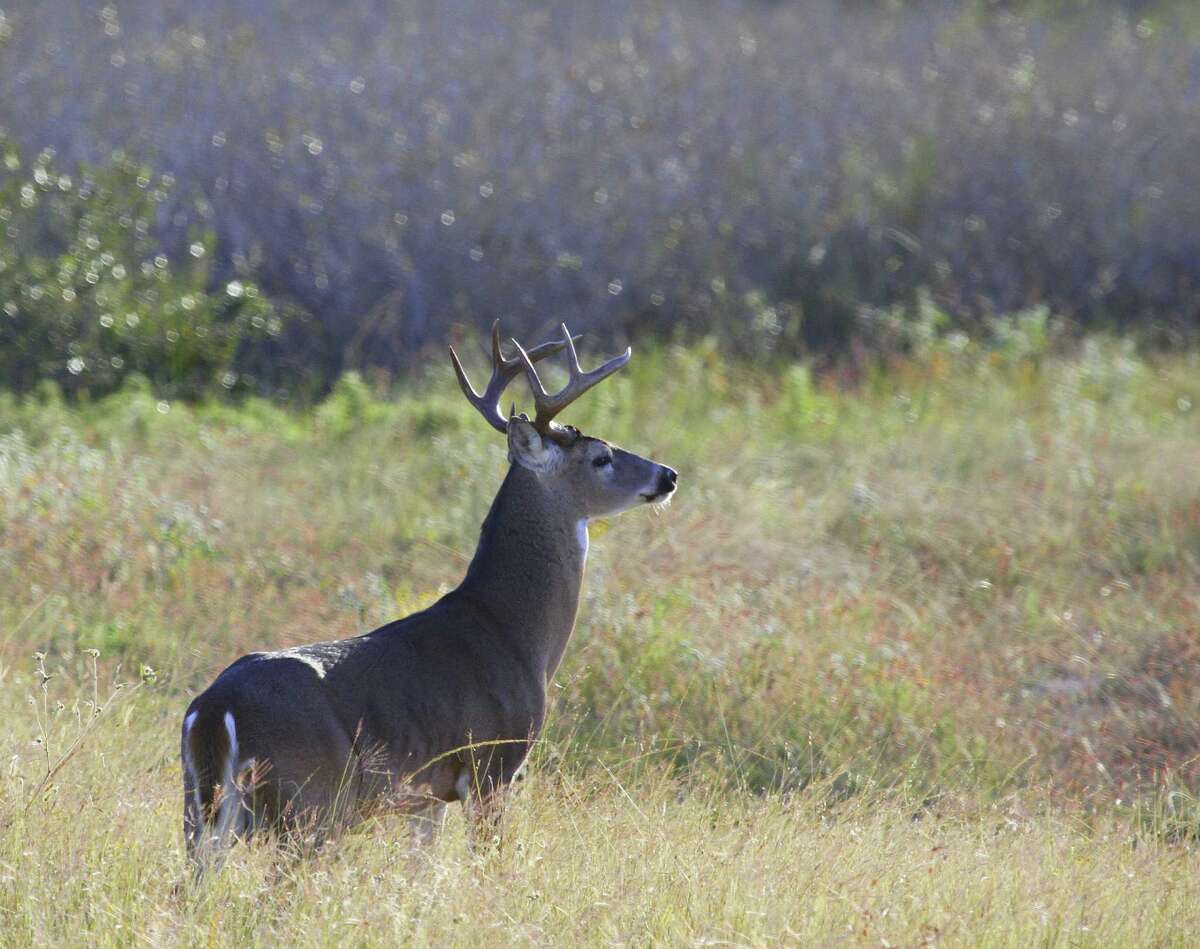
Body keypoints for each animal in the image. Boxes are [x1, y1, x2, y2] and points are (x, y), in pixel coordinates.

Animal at [182, 323, 681, 868]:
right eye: (601, 457)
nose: (668, 475)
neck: (512, 632)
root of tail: (214, 710)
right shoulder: (492, 763)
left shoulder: (426, 796)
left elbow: (419, 867)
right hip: (309, 803)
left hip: (202, 810)